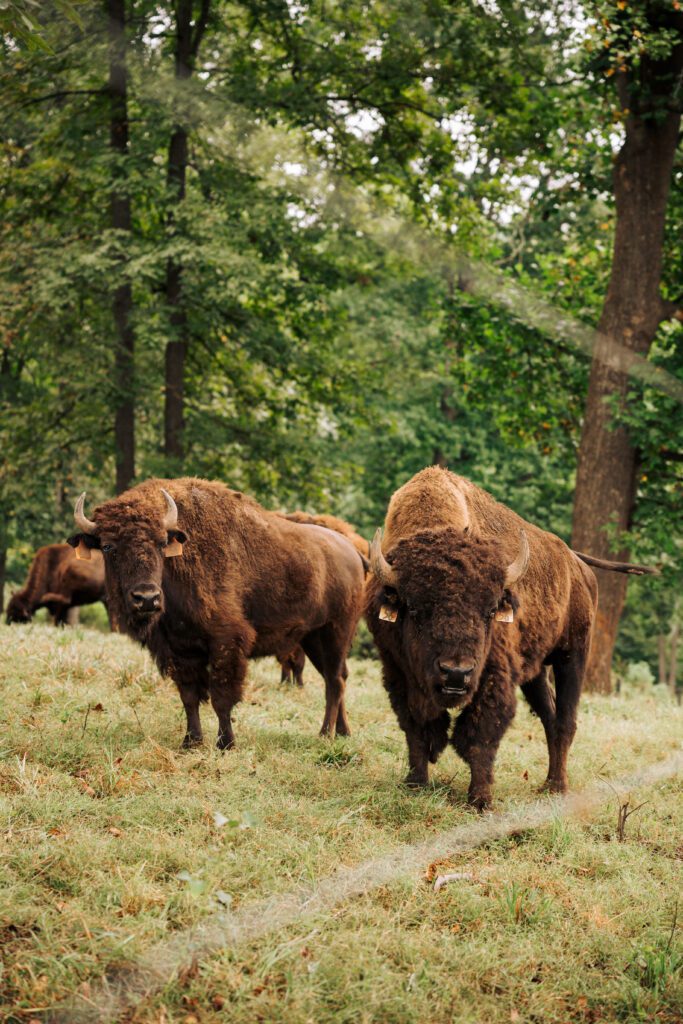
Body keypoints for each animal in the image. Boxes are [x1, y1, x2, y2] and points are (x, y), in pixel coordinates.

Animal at [366, 468, 659, 811]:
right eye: (413, 608)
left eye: (491, 610)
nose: (456, 673)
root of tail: (577, 564)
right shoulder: (397, 670)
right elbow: (417, 727)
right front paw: (416, 784)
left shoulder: (495, 675)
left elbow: (479, 734)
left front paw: (480, 800)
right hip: (536, 672)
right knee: (550, 717)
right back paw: (547, 782)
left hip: (573, 655)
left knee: (565, 721)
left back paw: (557, 787)